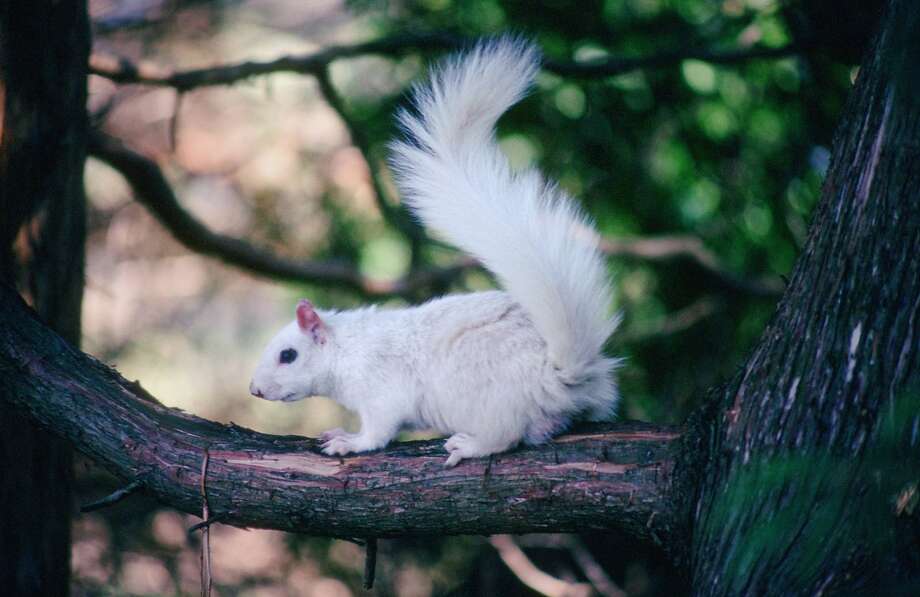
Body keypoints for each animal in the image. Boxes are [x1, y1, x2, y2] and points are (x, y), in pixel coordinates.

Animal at [248, 37, 620, 468]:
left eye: (287, 355)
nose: (254, 390)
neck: (345, 348)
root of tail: (559, 375)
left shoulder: (380, 387)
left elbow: (378, 430)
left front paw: (349, 441)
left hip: (487, 398)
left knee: (506, 434)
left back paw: (470, 445)